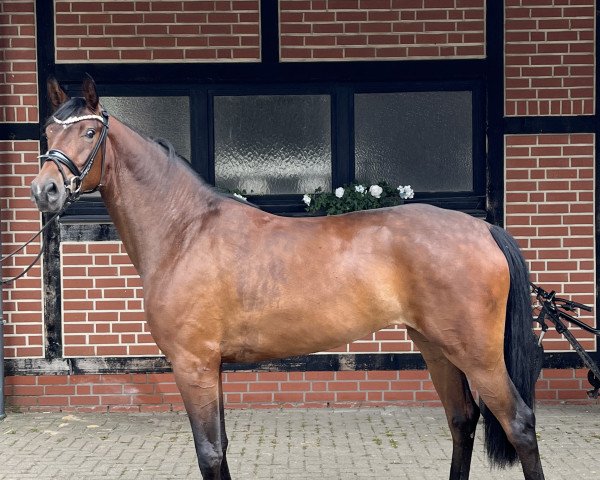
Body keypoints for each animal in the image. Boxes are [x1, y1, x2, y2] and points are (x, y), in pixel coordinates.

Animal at [31, 79, 544, 480]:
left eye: (90, 131)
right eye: (48, 130)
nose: (44, 190)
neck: (185, 231)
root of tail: (482, 228)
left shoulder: (192, 366)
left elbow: (209, 453)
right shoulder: (210, 368)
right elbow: (221, 449)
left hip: (477, 355)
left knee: (518, 423)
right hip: (436, 348)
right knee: (461, 420)